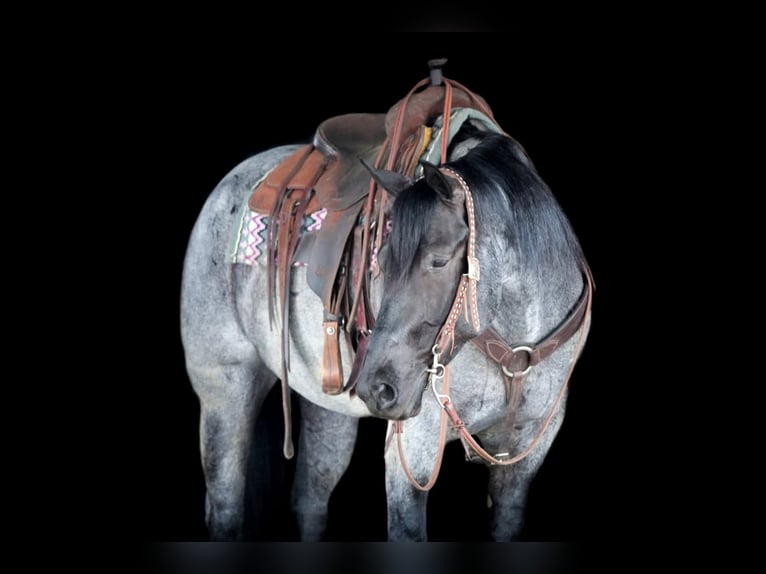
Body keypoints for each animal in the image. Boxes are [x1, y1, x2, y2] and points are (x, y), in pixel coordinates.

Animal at [180, 66, 593, 541]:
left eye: (439, 260)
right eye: (379, 257)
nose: (379, 388)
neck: (516, 343)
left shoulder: (525, 457)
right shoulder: (412, 451)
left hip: (327, 408)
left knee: (309, 499)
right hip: (225, 389)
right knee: (226, 506)